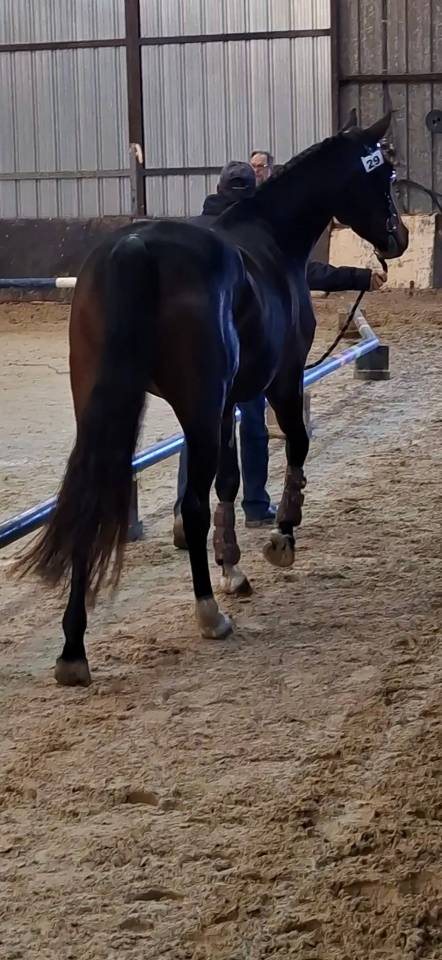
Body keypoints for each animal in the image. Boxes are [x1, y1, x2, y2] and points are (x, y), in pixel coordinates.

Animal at [18, 112, 408, 687]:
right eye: (383, 175)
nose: (399, 237)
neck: (270, 239)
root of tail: (134, 250)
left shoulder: (229, 403)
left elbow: (229, 480)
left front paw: (234, 567)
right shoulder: (280, 382)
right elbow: (293, 448)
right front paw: (280, 540)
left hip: (104, 407)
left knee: (92, 502)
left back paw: (73, 650)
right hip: (198, 409)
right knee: (192, 506)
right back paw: (208, 615)